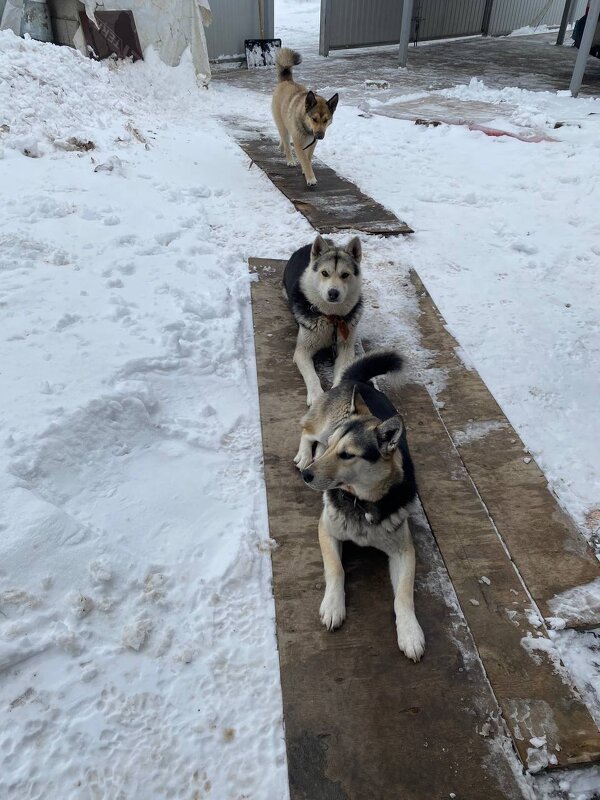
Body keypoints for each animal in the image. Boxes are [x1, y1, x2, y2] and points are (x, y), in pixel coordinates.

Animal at [272, 48, 338, 188]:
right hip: (282, 124)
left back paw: (281, 147)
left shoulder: (312, 143)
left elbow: (308, 158)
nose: (320, 136)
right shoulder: (298, 142)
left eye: (326, 120)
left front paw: (305, 169)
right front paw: (310, 177)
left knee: (283, 138)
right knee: (286, 140)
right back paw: (289, 158)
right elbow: (304, 158)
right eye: (314, 119)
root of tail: (286, 81)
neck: (307, 128)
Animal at [284, 233, 364, 406]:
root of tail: (307, 246)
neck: (331, 318)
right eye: (325, 273)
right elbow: (312, 376)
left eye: (345, 275)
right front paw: (316, 396)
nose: (333, 293)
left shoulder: (346, 349)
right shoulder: (302, 352)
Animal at [298, 350, 424, 664]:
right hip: (323, 426)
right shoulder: (326, 530)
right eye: (335, 448)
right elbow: (336, 569)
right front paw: (333, 606)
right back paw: (305, 454)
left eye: (347, 455)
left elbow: (404, 594)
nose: (307, 476)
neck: (361, 500)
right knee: (307, 431)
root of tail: (358, 381)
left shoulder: (404, 550)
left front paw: (410, 632)